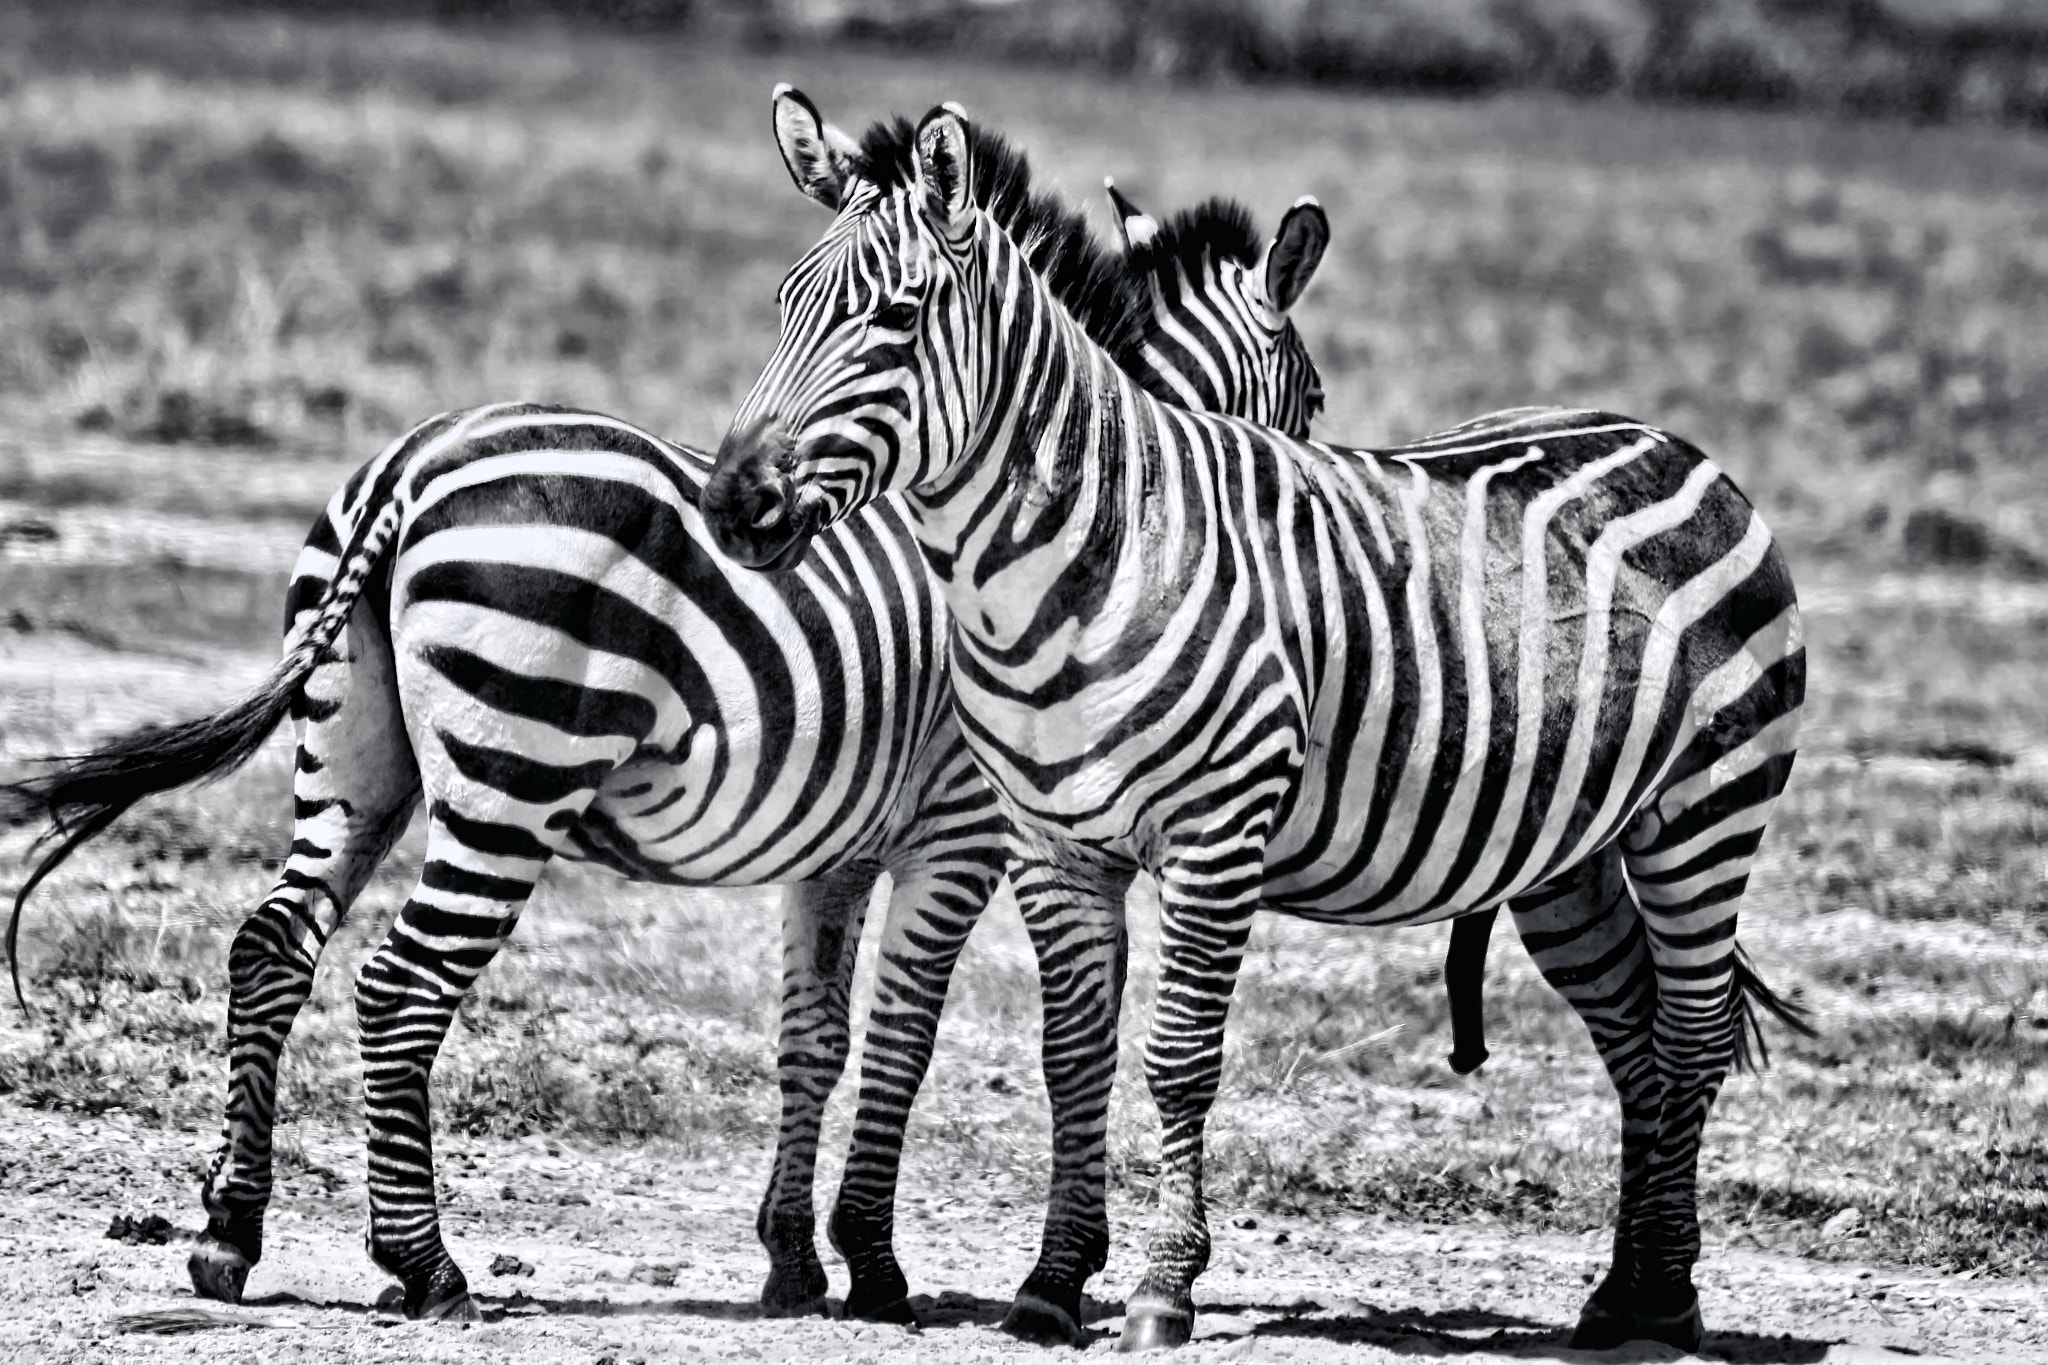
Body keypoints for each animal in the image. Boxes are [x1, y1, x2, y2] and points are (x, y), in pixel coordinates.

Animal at [0, 171, 1331, 1323]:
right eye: (1311, 404)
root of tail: (415, 468)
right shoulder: (959, 835)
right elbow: (901, 1038)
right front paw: (874, 1266)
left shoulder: (835, 854)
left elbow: (813, 1042)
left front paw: (794, 1262)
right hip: (511, 777)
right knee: (399, 985)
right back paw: (426, 1269)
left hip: (353, 756)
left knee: (271, 945)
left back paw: (229, 1230)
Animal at [702, 94, 1812, 1354]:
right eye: (784, 302)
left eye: (896, 317)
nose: (734, 506)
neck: (1079, 559)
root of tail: (1673, 443)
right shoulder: (1050, 846)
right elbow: (1070, 1054)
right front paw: (1050, 1283)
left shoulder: (1206, 836)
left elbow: (1176, 1058)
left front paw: (1158, 1288)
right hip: (1569, 851)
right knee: (1634, 1032)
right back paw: (1622, 1293)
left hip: (1704, 814)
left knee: (1691, 1034)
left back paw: (1667, 1298)